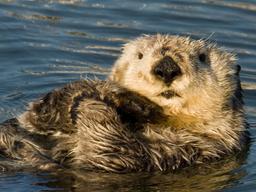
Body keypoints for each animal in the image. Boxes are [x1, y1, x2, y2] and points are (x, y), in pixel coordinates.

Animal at [0, 33, 248, 172]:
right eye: (140, 56)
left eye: (202, 58)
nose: (166, 68)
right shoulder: (31, 122)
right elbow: (35, 115)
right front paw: (100, 90)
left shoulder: (197, 147)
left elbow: (111, 150)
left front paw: (91, 101)